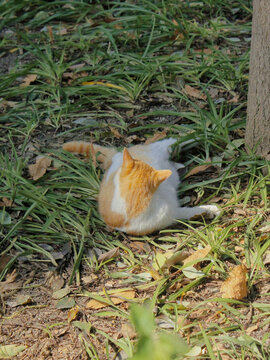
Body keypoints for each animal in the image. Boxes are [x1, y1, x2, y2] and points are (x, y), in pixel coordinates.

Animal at [62, 139, 219, 236]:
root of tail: (114, 157)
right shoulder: (172, 214)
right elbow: (191, 211)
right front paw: (210, 210)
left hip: (159, 148)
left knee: (175, 140)